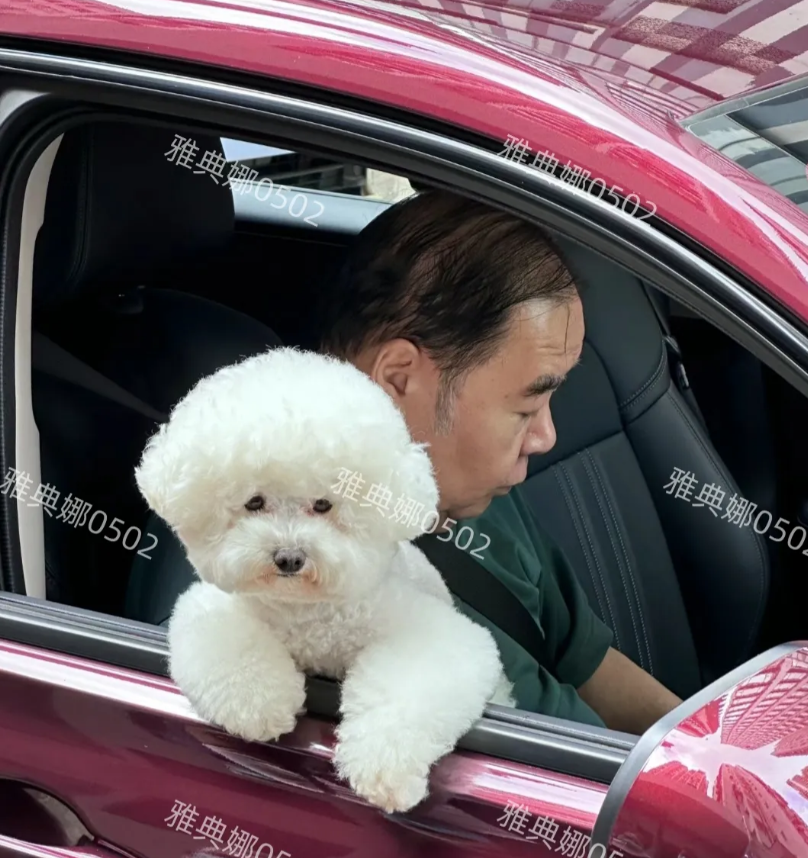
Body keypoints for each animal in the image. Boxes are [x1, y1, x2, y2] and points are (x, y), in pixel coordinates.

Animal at [135, 346, 513, 813]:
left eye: (323, 504)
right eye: (254, 502)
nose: (289, 558)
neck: (306, 611)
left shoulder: (429, 633)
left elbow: (408, 686)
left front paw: (381, 765)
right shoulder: (219, 607)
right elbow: (228, 643)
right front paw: (261, 703)